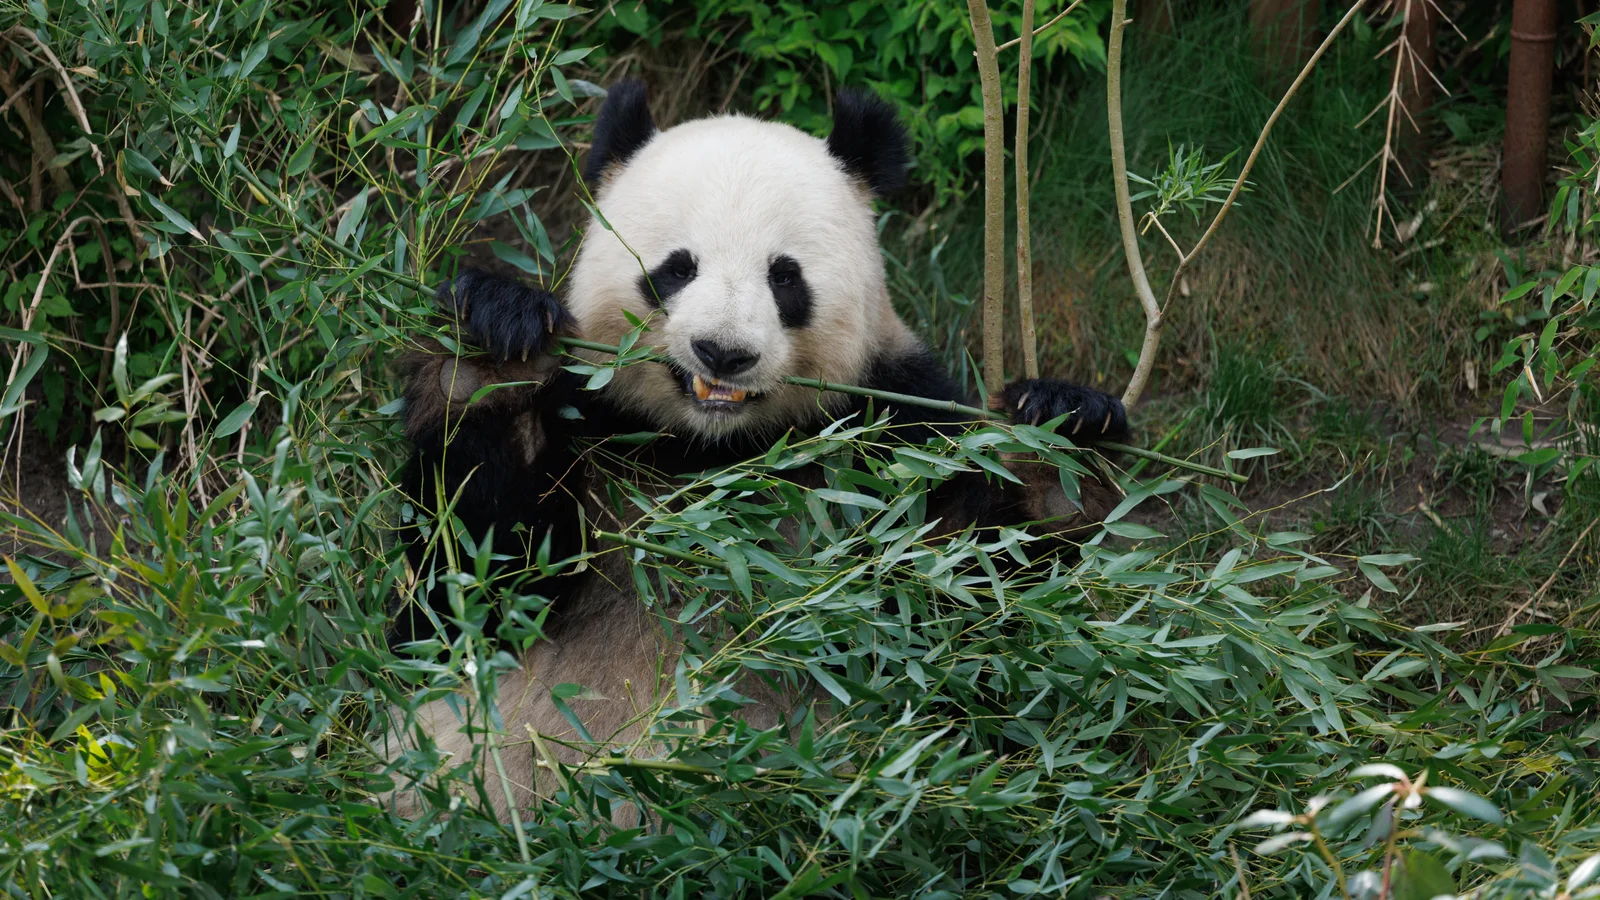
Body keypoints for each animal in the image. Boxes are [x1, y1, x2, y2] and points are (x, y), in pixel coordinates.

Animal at [385, 81, 1129, 820]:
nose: (723, 352)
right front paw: (494, 342)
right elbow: (465, 595)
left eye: (784, 277)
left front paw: (1061, 438)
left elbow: (976, 615)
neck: (715, 451)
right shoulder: (596, 417)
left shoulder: (892, 433)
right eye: (676, 268)